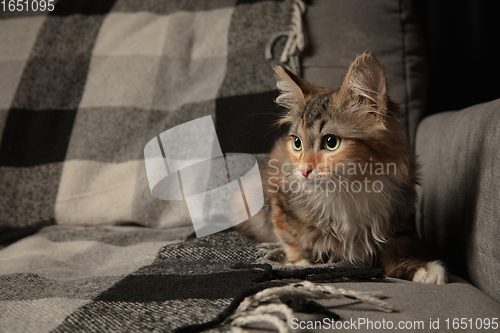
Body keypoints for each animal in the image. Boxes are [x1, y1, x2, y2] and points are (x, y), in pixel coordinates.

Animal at [238, 52, 446, 282]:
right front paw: (300, 263)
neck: (352, 190)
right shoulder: (279, 202)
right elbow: (293, 241)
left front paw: (420, 268)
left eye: (331, 142)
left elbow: (399, 246)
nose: (303, 170)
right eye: (297, 143)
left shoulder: (399, 216)